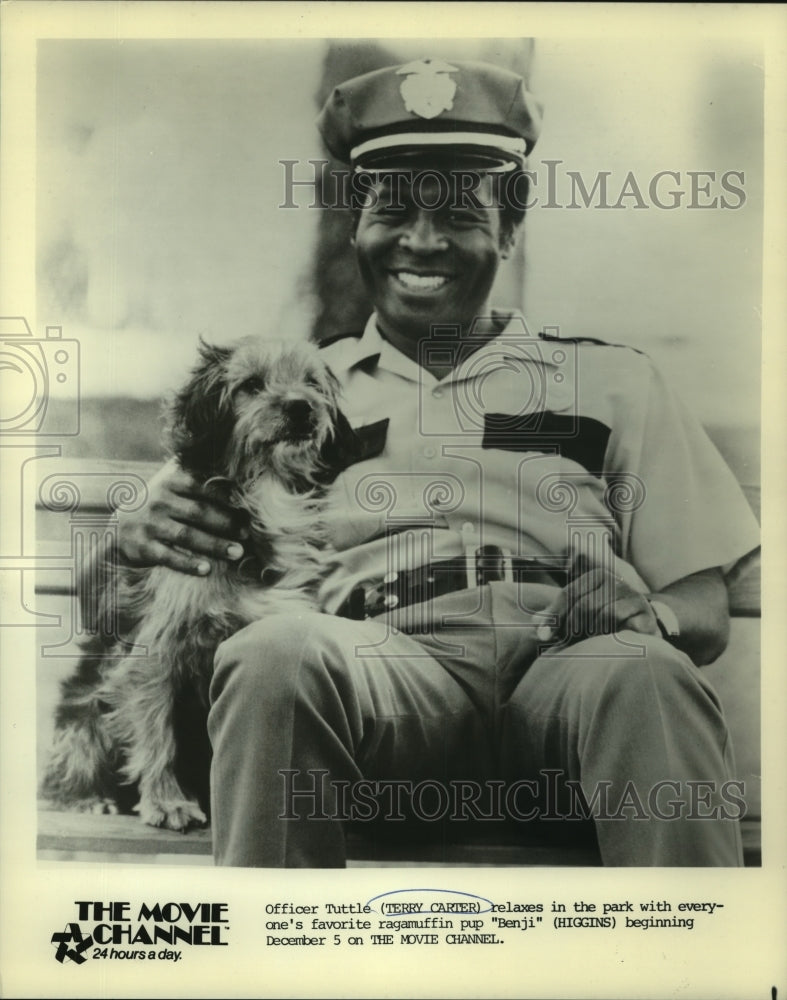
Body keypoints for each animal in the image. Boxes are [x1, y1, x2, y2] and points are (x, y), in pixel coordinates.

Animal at [40, 340, 354, 832]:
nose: (301, 407)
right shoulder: (155, 651)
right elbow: (157, 731)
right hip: (86, 708)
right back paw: (84, 799)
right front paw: (168, 802)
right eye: (251, 385)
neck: (265, 494)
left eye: (311, 382)